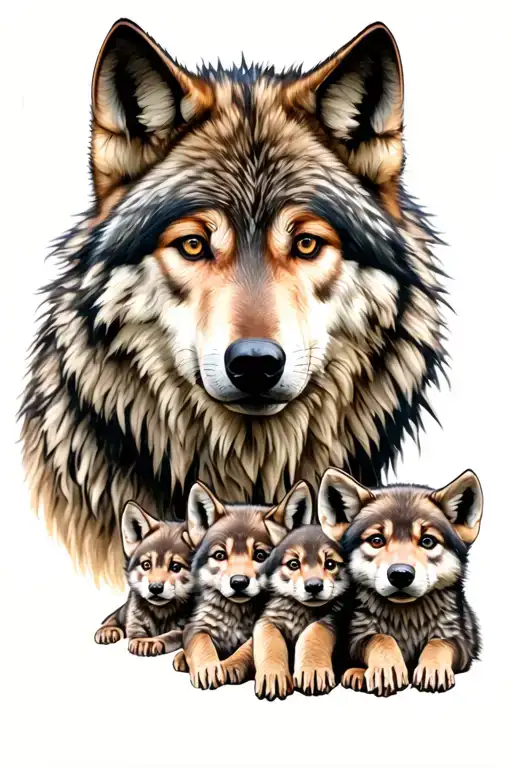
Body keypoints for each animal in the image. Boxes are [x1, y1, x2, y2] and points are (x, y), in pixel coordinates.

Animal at [94, 501, 194, 655]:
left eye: (175, 567)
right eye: (146, 565)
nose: (155, 588)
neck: (161, 613)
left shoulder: (183, 628)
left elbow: (170, 635)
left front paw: (150, 642)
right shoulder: (134, 619)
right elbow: (134, 629)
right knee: (114, 617)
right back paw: (108, 629)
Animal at [173, 479, 312, 689]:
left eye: (261, 555)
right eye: (220, 555)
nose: (238, 582)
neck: (235, 616)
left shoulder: (259, 627)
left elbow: (246, 649)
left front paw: (228, 665)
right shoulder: (196, 626)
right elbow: (201, 643)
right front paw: (208, 667)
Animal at [253, 525, 350, 701]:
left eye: (330, 564)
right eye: (293, 564)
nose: (314, 586)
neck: (301, 610)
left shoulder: (331, 618)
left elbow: (313, 632)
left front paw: (313, 669)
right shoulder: (267, 620)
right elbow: (270, 641)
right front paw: (273, 673)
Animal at [317, 467, 482, 697]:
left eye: (428, 541)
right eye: (376, 540)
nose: (401, 574)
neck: (406, 618)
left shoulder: (460, 640)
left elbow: (439, 643)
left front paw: (433, 669)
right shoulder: (356, 637)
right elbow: (380, 638)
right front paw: (387, 668)